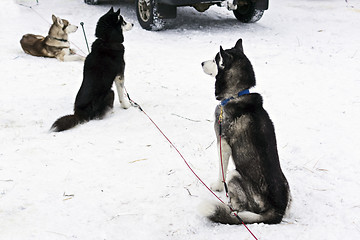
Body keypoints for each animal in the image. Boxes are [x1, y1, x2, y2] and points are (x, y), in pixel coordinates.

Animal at [201, 38, 292, 224]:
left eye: (214, 60)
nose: (201, 63)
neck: (236, 94)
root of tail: (277, 211)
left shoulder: (222, 144)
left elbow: (221, 171)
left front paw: (217, 187)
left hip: (234, 174)